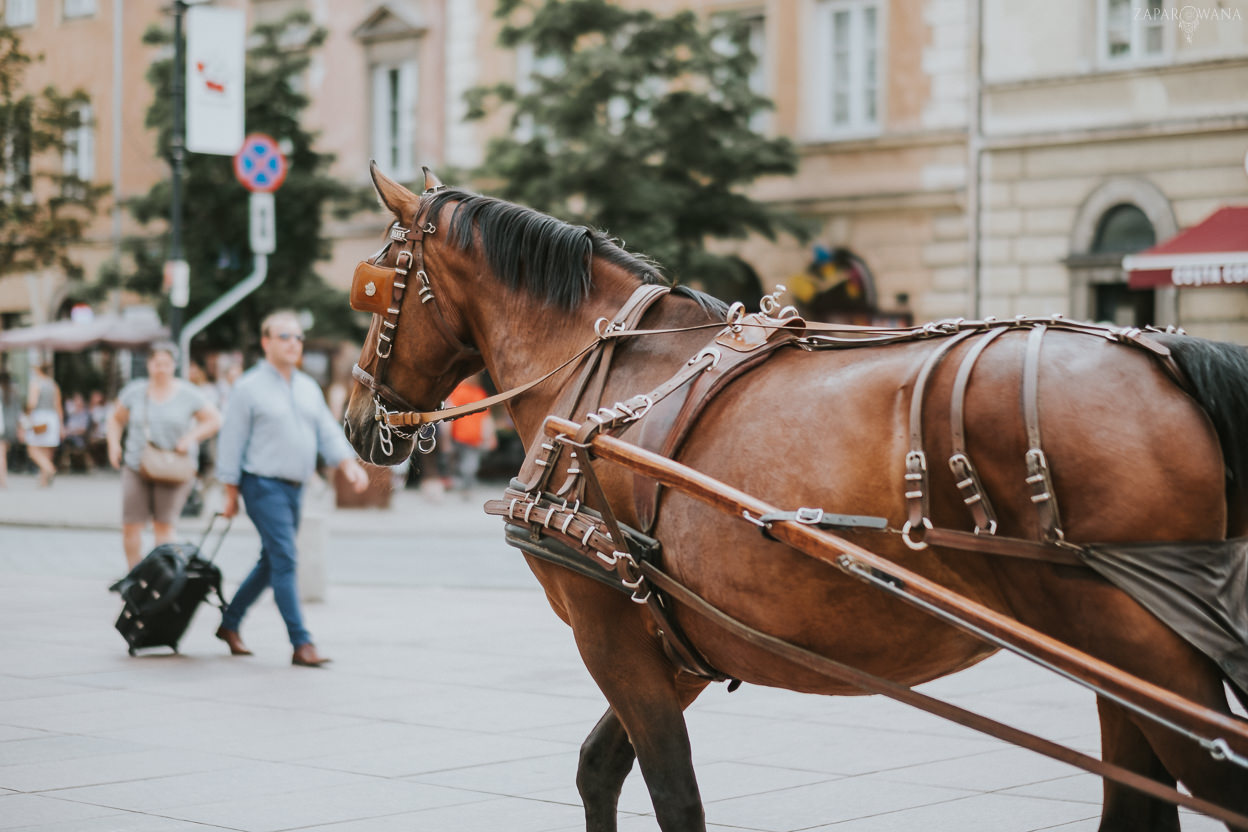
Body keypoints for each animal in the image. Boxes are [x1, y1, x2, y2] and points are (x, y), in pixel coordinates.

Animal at [346, 165, 1248, 828]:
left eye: (376, 283)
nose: (355, 416)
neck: (606, 367)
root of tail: (1167, 359)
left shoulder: (613, 632)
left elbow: (673, 796)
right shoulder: (678, 637)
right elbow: (599, 769)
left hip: (1143, 648)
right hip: (1119, 669)